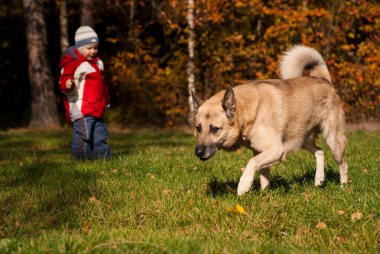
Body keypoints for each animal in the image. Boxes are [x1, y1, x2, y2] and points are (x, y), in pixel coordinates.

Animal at [191, 45, 348, 195]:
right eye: (198, 128)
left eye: (214, 129)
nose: (198, 152)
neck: (248, 111)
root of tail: (324, 79)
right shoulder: (260, 151)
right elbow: (263, 175)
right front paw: (265, 194)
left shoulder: (276, 150)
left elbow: (252, 162)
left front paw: (243, 185)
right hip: (302, 139)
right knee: (319, 152)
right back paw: (319, 180)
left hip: (333, 140)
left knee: (343, 164)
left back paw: (343, 187)